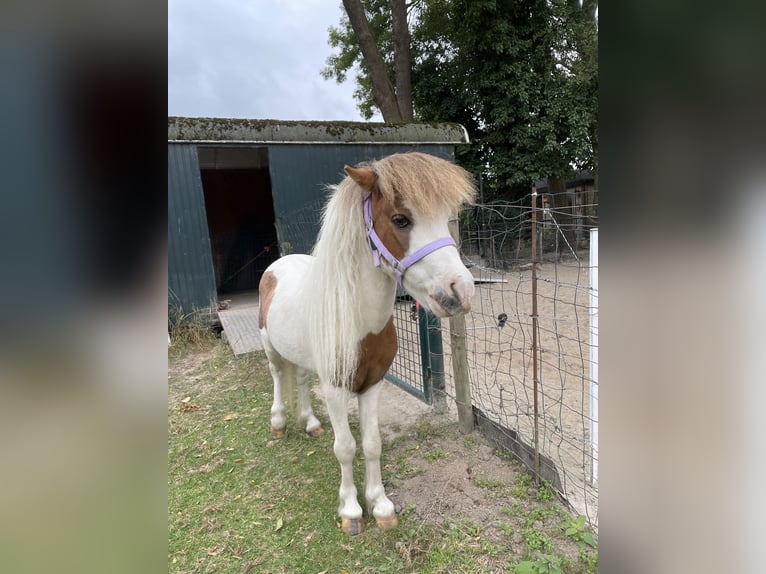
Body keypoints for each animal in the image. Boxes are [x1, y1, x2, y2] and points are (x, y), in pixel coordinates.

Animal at [258, 151, 477, 535]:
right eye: (401, 219)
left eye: (447, 216)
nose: (460, 292)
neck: (358, 322)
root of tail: (278, 264)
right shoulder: (335, 388)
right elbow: (345, 447)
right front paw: (350, 510)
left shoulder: (372, 383)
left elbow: (372, 443)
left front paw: (381, 504)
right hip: (271, 349)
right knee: (277, 377)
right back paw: (279, 423)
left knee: (299, 380)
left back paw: (310, 423)